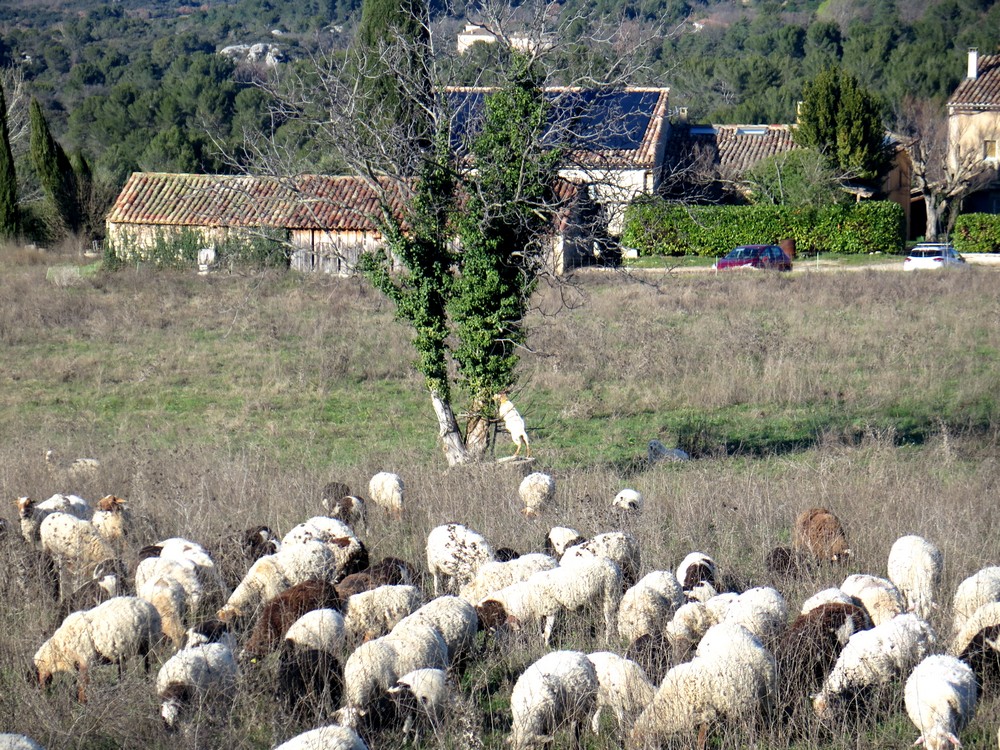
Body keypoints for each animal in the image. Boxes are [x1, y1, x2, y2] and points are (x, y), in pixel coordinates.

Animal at [33, 596, 163, 704]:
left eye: (39, 673)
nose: (43, 694)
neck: (60, 647)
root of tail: (148, 604)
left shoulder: (86, 661)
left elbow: (83, 685)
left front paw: (83, 703)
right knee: (123, 670)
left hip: (150, 644)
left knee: (147, 665)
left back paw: (145, 681)